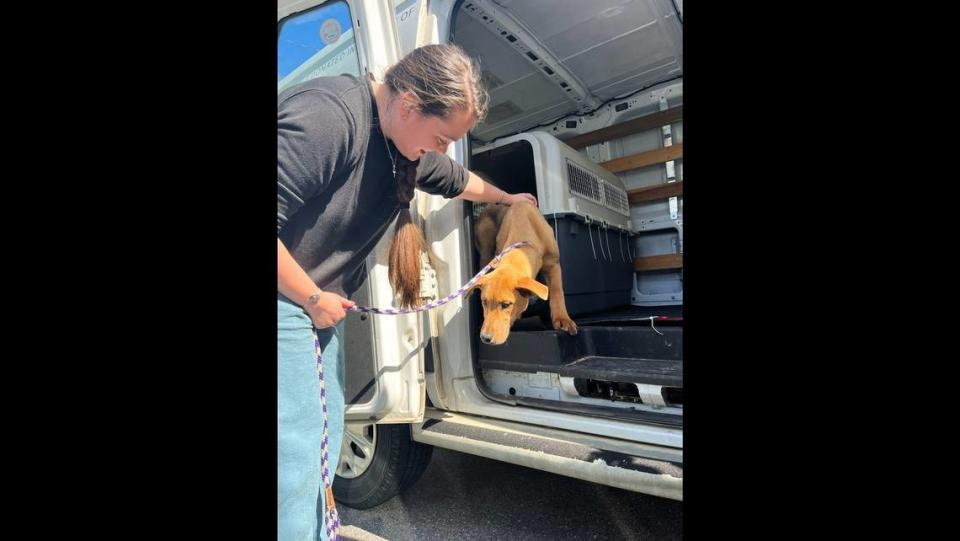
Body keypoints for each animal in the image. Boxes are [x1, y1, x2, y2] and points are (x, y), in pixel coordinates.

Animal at [472, 200, 576, 344]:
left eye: (506, 305)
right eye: (484, 302)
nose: (484, 337)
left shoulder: (553, 264)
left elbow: (557, 291)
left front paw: (563, 319)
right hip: (485, 248)